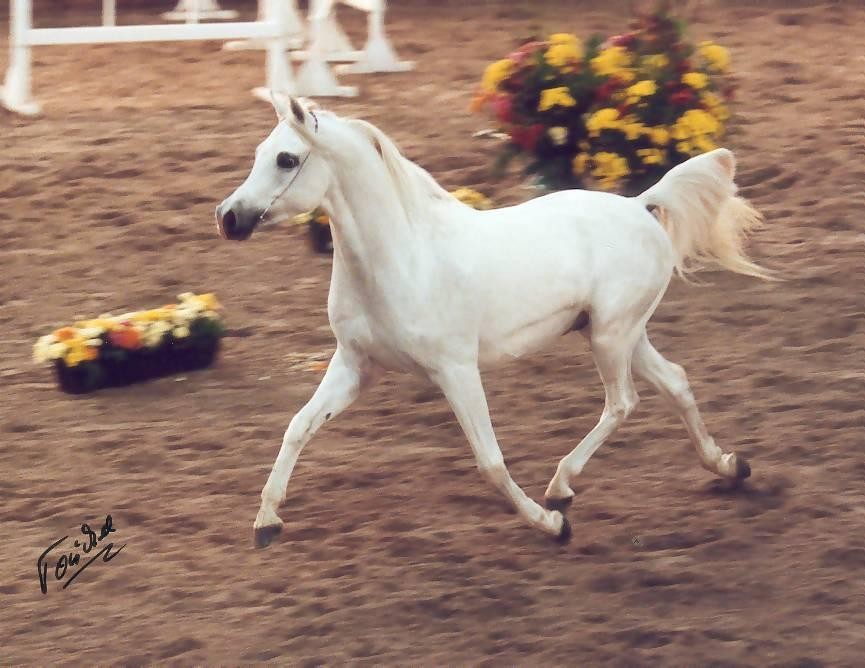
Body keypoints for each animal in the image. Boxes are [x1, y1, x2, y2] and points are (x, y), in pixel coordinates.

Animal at [216, 98, 768, 548]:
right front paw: (266, 522)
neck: (403, 259)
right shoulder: (355, 367)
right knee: (675, 381)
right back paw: (727, 465)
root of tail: (640, 206)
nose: (227, 217)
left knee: (623, 402)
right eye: (261, 152)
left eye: (287, 159)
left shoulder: (457, 371)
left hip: (612, 336)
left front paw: (551, 525)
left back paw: (560, 489)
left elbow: (490, 461)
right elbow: (298, 427)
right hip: (619, 334)